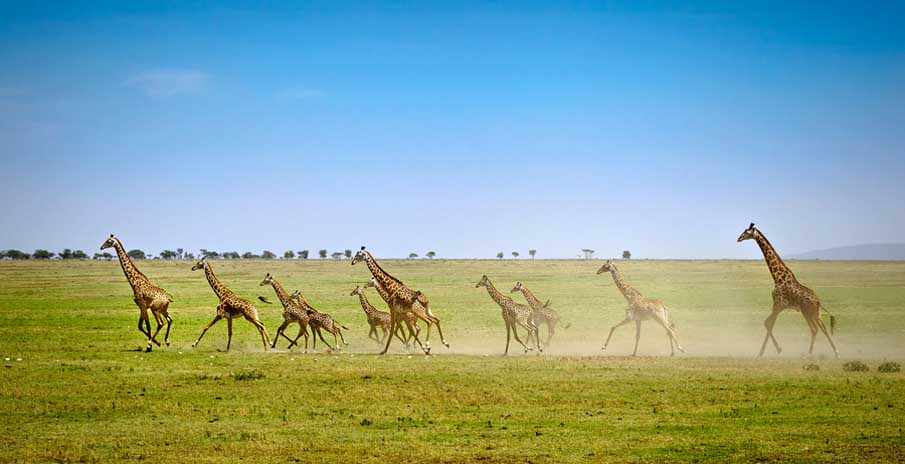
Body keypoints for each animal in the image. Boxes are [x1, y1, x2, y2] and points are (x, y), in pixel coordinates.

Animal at [736, 223, 840, 358]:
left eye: (747, 232)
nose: (738, 238)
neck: (777, 277)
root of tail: (818, 302)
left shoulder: (778, 304)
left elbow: (768, 324)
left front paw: (767, 351)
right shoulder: (778, 306)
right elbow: (768, 324)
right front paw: (776, 349)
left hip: (808, 312)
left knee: (815, 329)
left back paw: (810, 353)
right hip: (814, 313)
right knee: (821, 328)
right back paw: (833, 352)